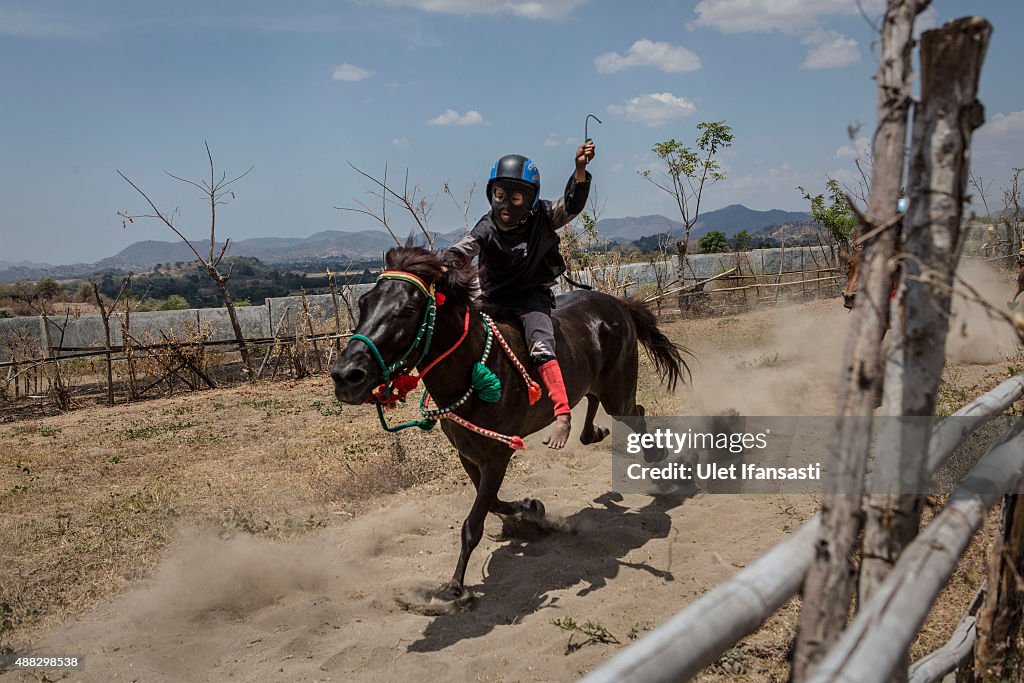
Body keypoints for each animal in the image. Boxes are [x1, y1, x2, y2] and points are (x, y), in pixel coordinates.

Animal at [331, 246, 692, 602]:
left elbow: (473, 523)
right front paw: (529, 510)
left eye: (407, 310)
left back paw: (656, 459)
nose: (346, 375)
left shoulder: (497, 456)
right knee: (595, 404)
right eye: (364, 304)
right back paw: (593, 434)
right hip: (595, 384)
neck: (475, 368)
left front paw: (454, 588)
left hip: (618, 392)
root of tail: (618, 304)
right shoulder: (469, 455)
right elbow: (492, 504)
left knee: (636, 411)